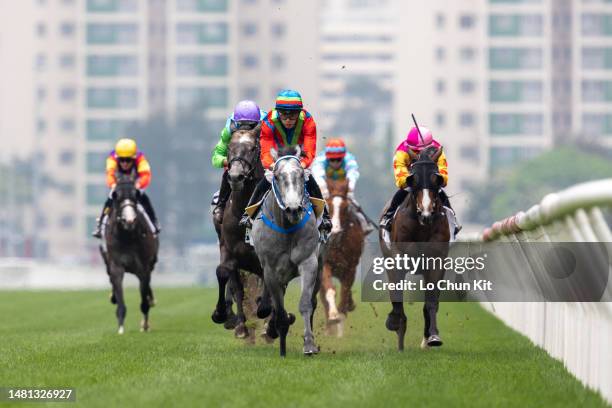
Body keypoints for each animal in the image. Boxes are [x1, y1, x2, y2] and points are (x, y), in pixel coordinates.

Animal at [250, 147, 322, 356]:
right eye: (277, 176)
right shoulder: (271, 270)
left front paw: (309, 345)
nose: (293, 209)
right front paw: (281, 343)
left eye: (301, 175)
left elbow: (305, 304)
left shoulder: (309, 261)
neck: (287, 227)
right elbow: (279, 309)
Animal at [320, 178, 364, 334]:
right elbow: (329, 290)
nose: (334, 232)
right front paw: (333, 317)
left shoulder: (350, 267)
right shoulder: (325, 263)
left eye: (345, 208)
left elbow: (344, 294)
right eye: (328, 205)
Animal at [378, 147, 450, 350]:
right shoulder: (399, 258)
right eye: (413, 179)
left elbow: (431, 301)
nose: (426, 213)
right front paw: (395, 323)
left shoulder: (437, 262)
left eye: (436, 179)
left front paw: (433, 337)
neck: (422, 226)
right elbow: (397, 296)